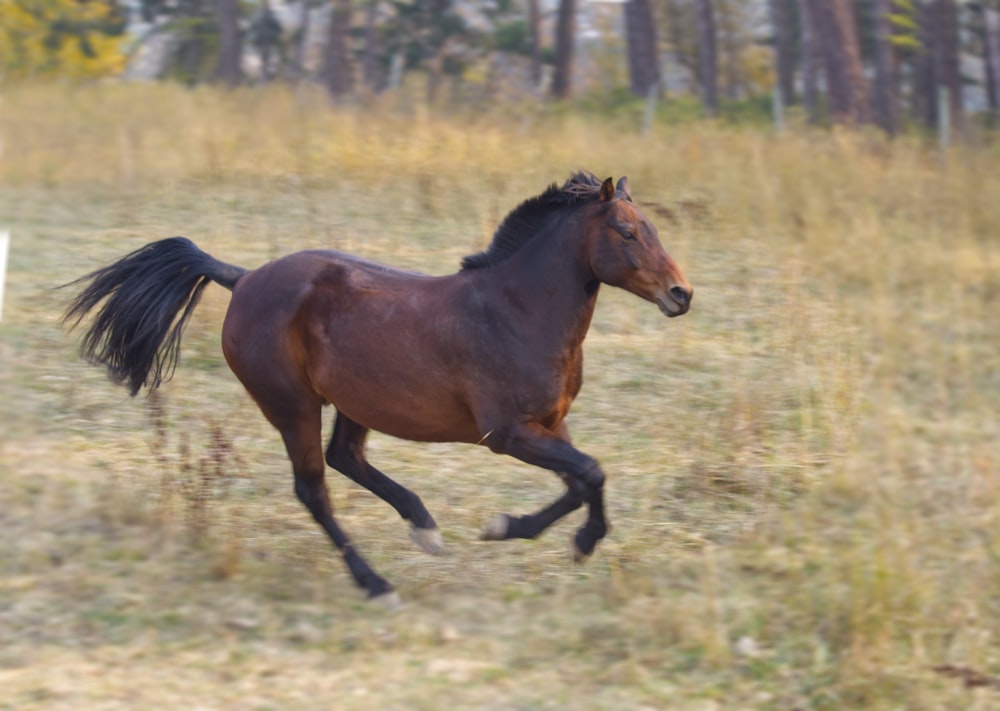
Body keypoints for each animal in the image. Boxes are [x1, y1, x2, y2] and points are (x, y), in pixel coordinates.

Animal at [62, 171, 688, 600]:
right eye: (627, 232)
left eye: (655, 228)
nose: (681, 294)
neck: (516, 310)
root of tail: (243, 279)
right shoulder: (506, 433)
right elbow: (590, 473)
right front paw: (527, 532)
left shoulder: (550, 423)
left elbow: (584, 478)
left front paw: (545, 535)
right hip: (292, 405)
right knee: (314, 488)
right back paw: (376, 583)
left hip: (353, 401)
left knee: (346, 458)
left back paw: (423, 526)